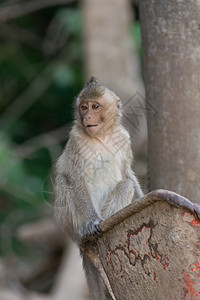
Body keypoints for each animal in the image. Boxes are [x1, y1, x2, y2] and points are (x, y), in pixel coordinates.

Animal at [54, 76, 143, 298]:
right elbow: (74, 178)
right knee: (65, 182)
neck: (102, 135)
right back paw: (86, 232)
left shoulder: (124, 138)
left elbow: (127, 174)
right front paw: (92, 222)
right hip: (69, 221)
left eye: (95, 106)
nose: (87, 116)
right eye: (83, 107)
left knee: (126, 184)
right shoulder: (76, 141)